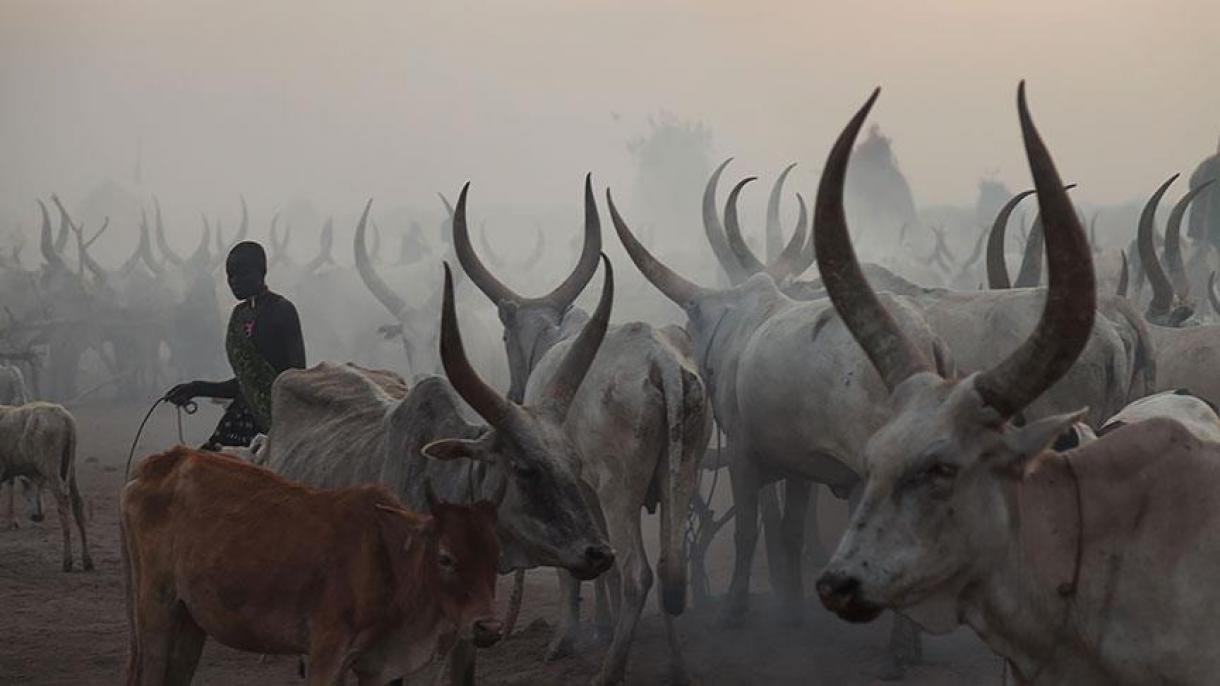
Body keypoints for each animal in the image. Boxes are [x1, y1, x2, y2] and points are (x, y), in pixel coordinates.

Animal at [0, 397, 89, 568]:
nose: (37, 516)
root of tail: (64, 417)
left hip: (51, 469)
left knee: (63, 504)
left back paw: (67, 561)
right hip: (69, 470)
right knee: (78, 503)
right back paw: (87, 560)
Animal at [121, 446, 502, 683]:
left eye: (496, 559)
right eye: (445, 557)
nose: (488, 628)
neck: (389, 561)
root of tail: (163, 461)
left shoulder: (373, 667)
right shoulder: (325, 656)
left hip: (190, 620)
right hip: (156, 611)